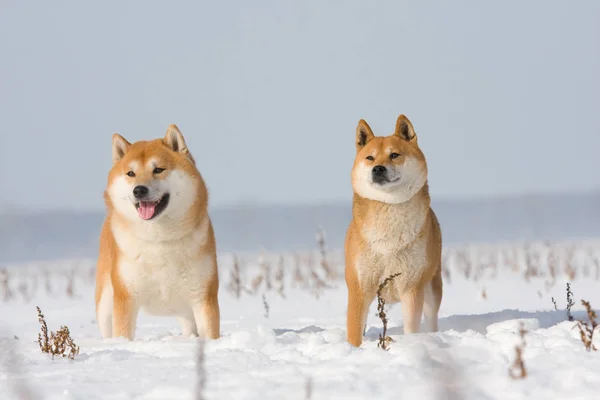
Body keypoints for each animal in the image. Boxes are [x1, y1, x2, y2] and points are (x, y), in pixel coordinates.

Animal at [95, 124, 220, 340]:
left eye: (158, 169)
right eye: (130, 173)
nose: (139, 190)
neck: (159, 241)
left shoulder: (203, 296)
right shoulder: (126, 298)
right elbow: (123, 334)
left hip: (185, 309)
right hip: (105, 307)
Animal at [344, 114, 442, 346]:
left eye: (394, 155)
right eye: (370, 158)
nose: (378, 169)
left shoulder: (411, 287)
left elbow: (411, 328)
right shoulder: (359, 288)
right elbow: (354, 334)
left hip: (432, 289)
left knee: (431, 318)